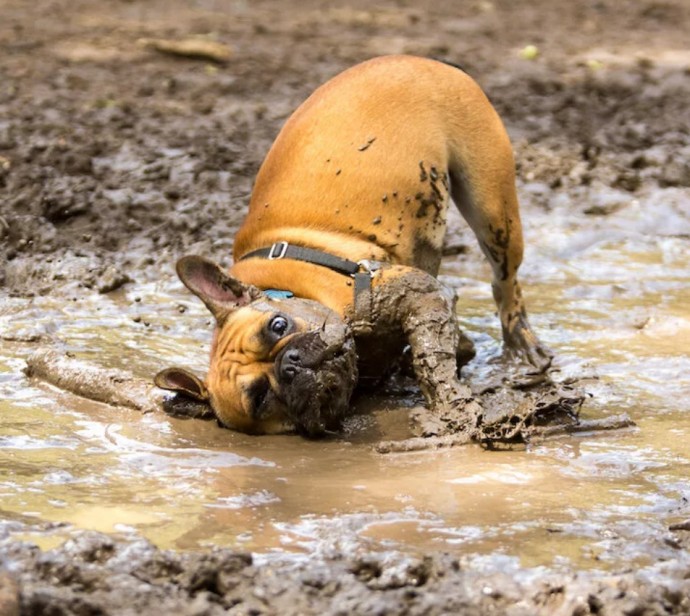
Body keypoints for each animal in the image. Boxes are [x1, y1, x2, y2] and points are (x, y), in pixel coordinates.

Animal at [155, 55, 548, 436]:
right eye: (261, 397)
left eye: (278, 326)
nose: (289, 364)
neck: (288, 287)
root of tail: (420, 60)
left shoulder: (415, 293)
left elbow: (432, 356)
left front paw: (451, 405)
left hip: (492, 208)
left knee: (505, 280)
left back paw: (522, 345)